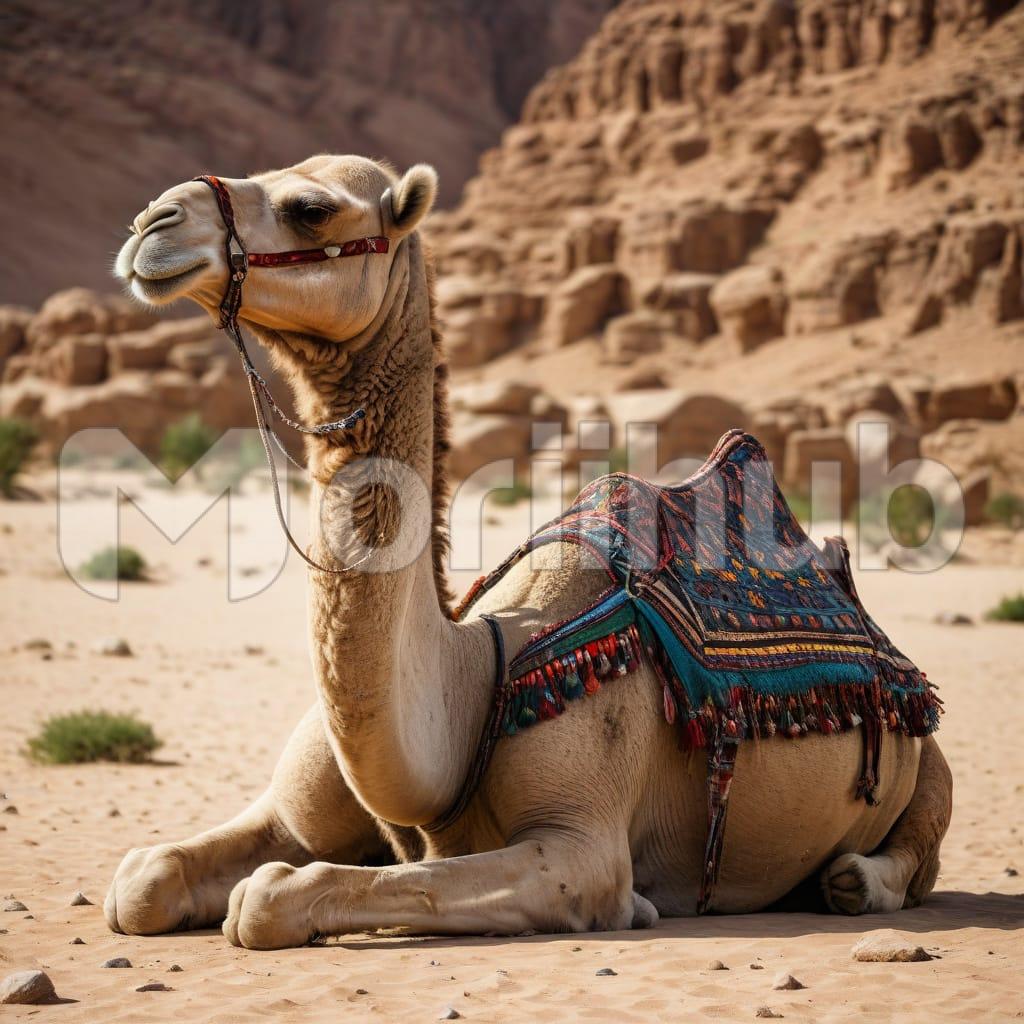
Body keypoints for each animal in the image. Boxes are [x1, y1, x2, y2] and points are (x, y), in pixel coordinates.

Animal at [105, 154, 952, 950]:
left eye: (308, 208)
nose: (152, 223)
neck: (470, 676)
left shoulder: (580, 849)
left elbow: (286, 892)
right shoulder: (293, 815)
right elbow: (142, 880)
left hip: (927, 753)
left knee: (915, 846)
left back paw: (855, 880)